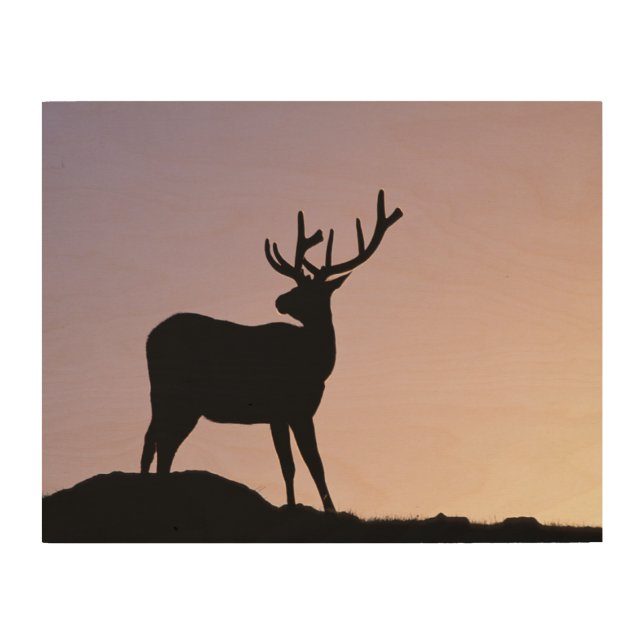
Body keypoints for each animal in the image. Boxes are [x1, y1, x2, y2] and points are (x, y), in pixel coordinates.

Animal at [140, 189, 403, 512]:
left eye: (309, 290)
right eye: (297, 286)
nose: (280, 299)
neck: (316, 364)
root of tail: (150, 337)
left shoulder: (287, 413)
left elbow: (297, 463)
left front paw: (299, 504)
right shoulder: (288, 408)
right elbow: (306, 463)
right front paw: (321, 508)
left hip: (164, 395)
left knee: (153, 438)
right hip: (181, 395)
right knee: (164, 442)